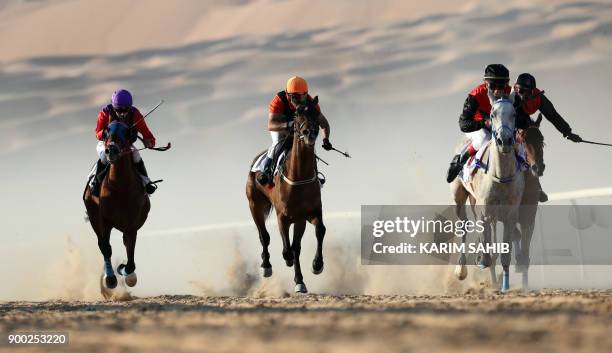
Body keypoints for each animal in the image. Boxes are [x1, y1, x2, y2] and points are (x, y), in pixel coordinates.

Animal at [82, 119, 151, 296]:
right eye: (106, 131)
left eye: (127, 132)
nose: (111, 150)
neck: (120, 186)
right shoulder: (103, 220)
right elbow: (106, 248)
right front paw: (111, 279)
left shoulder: (131, 224)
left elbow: (130, 251)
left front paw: (127, 273)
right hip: (95, 217)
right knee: (103, 245)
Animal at [246, 95, 328, 292]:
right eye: (297, 114)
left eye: (315, 113)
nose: (309, 133)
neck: (298, 176)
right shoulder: (282, 216)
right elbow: (286, 248)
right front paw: (286, 259)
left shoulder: (309, 213)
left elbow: (319, 231)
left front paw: (317, 265)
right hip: (255, 205)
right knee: (264, 236)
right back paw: (266, 266)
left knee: (295, 246)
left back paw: (299, 281)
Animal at [450, 92, 524, 292]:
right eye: (492, 114)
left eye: (514, 114)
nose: (505, 141)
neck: (500, 175)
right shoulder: (486, 212)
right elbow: (488, 252)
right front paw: (481, 260)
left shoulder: (509, 214)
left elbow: (504, 252)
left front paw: (504, 285)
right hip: (460, 197)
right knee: (464, 224)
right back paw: (461, 269)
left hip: (477, 204)